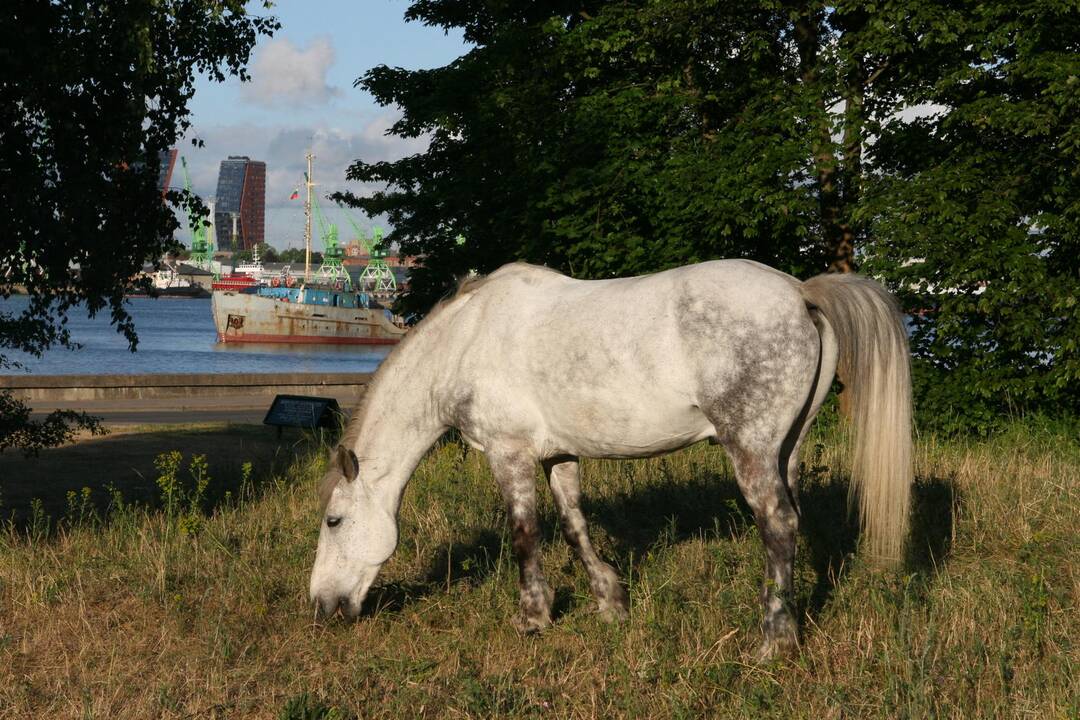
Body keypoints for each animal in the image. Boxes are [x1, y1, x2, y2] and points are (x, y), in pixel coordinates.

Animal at [313, 259, 911, 660]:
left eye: (334, 521)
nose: (322, 607)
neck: (467, 340)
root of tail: (799, 292)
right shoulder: (559, 455)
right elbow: (574, 525)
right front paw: (611, 603)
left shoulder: (510, 454)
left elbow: (525, 533)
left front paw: (533, 618)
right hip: (787, 449)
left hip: (753, 449)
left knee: (778, 525)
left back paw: (774, 641)